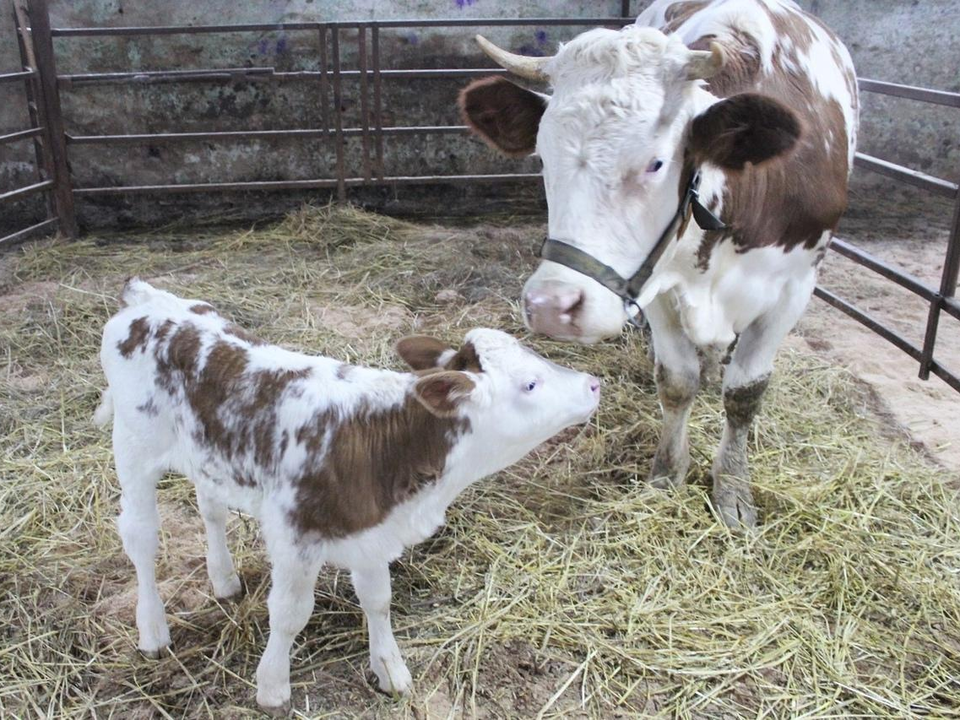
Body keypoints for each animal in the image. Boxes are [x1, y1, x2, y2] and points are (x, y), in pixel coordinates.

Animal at [94, 278, 596, 712]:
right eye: (530, 383)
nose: (593, 383)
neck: (384, 440)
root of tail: (145, 298)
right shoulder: (295, 535)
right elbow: (289, 613)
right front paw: (272, 687)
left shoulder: (370, 528)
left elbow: (378, 598)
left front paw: (390, 669)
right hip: (133, 447)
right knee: (141, 538)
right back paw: (153, 629)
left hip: (206, 453)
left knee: (211, 508)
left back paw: (224, 579)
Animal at [458, 0, 856, 528]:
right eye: (542, 157)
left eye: (656, 163)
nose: (550, 306)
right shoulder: (656, 287)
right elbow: (677, 381)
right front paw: (668, 473)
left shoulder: (794, 287)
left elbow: (745, 391)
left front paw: (733, 489)